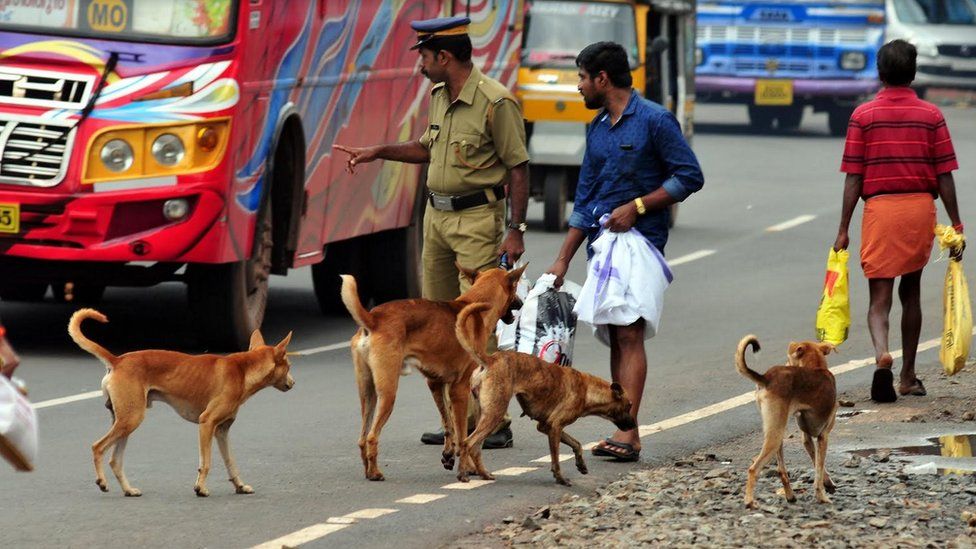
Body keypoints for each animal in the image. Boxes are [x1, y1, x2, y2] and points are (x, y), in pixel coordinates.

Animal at [69, 308, 294, 496]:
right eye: (289, 366)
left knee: (115, 461)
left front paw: (239, 486)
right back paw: (102, 482)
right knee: (97, 447)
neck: (243, 370)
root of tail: (118, 360)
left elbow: (230, 462)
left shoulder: (222, 430)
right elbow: (206, 462)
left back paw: (129, 490)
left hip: (125, 421)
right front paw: (201, 488)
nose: (293, 383)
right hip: (131, 419)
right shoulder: (206, 423)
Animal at [342, 264, 528, 482]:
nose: (521, 302)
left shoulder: (435, 384)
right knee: (372, 436)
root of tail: (374, 318)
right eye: (515, 288)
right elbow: (463, 435)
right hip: (388, 394)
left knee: (362, 438)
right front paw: (467, 467)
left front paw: (449, 455)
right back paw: (375, 473)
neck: (474, 305)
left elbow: (448, 424)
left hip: (368, 394)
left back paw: (367, 470)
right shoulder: (460, 390)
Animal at [454, 300, 636, 484]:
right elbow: (556, 458)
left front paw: (581, 464)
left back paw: (484, 474)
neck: (587, 389)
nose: (634, 425)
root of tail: (491, 360)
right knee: (467, 443)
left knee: (475, 448)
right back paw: (463, 474)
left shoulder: (546, 426)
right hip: (494, 414)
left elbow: (576, 443)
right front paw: (560, 478)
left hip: (484, 414)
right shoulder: (555, 427)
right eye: (628, 406)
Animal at [740, 334, 840, 510]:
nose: (786, 363)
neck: (816, 367)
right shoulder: (824, 436)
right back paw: (750, 501)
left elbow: (818, 465)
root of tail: (766, 378)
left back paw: (790, 496)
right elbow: (818, 471)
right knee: (753, 469)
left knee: (782, 471)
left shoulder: (806, 438)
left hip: (777, 432)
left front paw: (827, 483)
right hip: (776, 435)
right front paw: (822, 496)